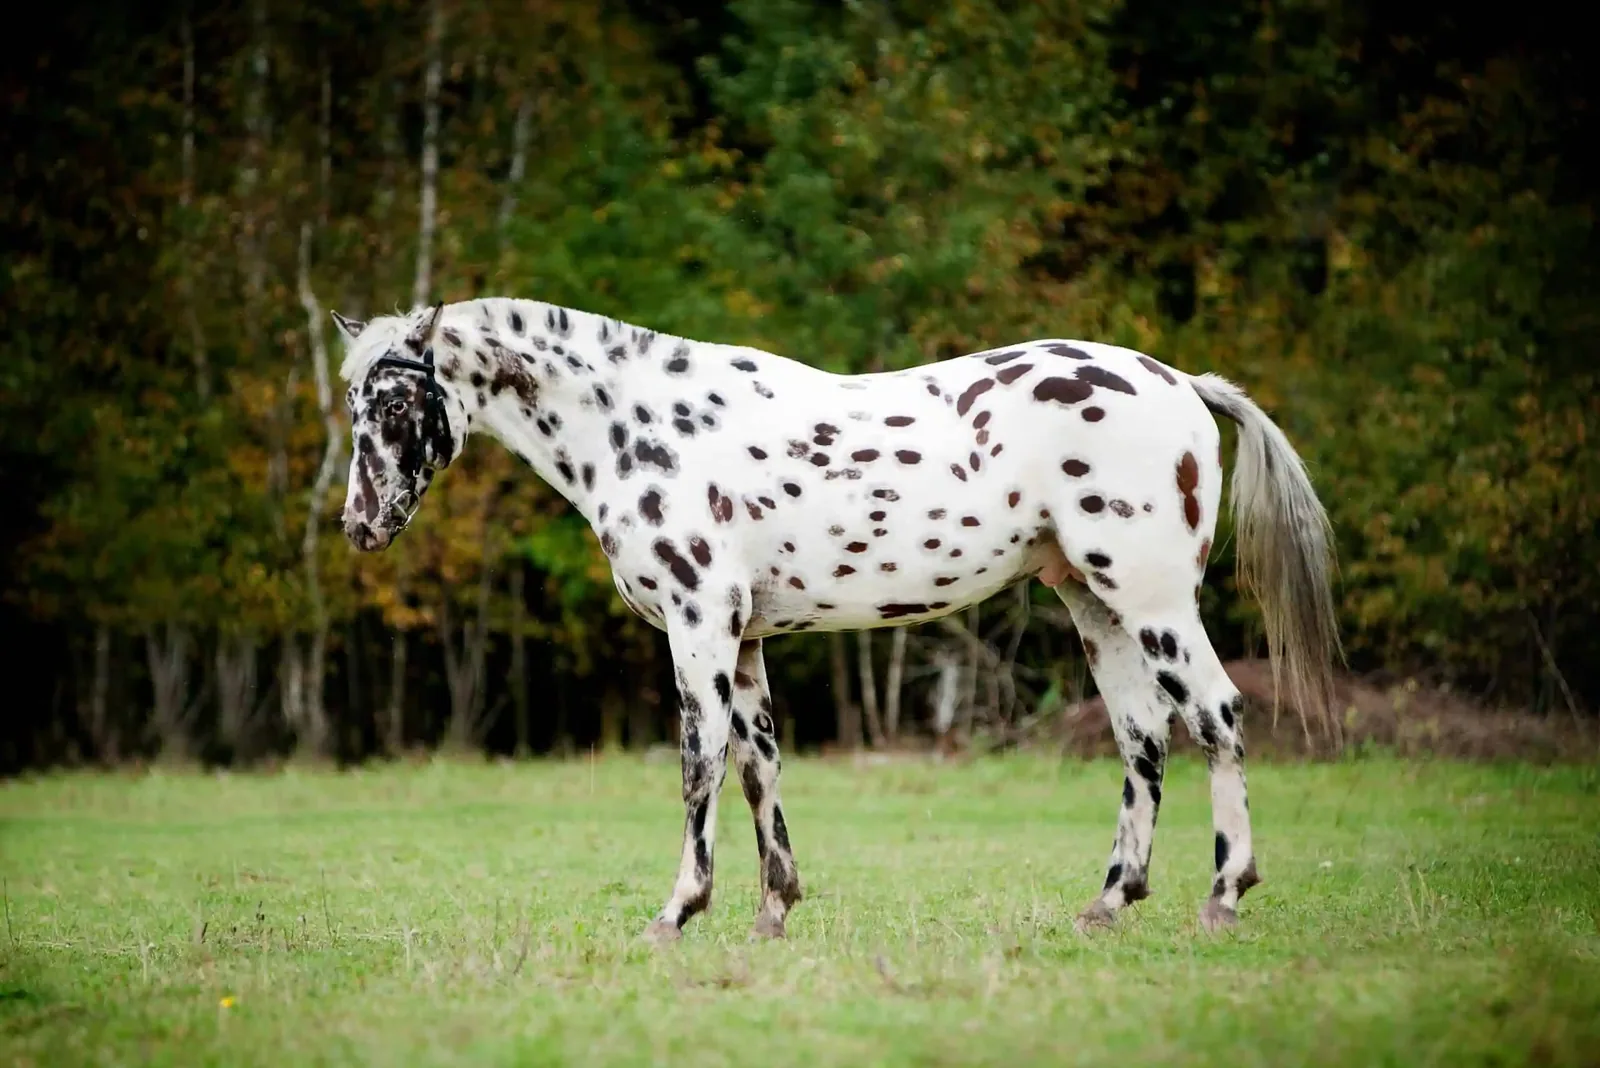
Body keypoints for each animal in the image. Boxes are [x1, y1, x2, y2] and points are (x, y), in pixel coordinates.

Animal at [332, 298, 1339, 941]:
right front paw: (773, 909)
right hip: (1095, 605)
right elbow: (757, 767)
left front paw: (677, 912)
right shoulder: (743, 639)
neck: (645, 427)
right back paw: (1109, 904)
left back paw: (1224, 897)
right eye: (353, 403)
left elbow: (699, 763)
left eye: (398, 399)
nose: (361, 524)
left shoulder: (699, 625)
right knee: (1143, 740)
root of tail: (1181, 384)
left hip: (1152, 599)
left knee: (1217, 716)